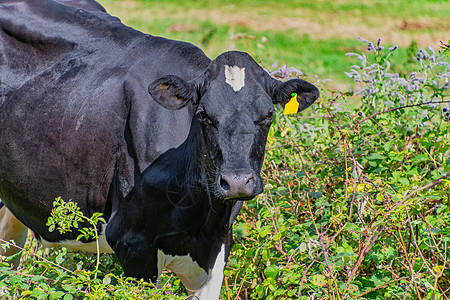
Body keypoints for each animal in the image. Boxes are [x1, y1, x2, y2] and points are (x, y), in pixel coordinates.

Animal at [0, 1, 318, 298]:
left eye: (268, 115)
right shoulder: (131, 242)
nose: (237, 181)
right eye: (203, 115)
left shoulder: (218, 243)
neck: (198, 212)